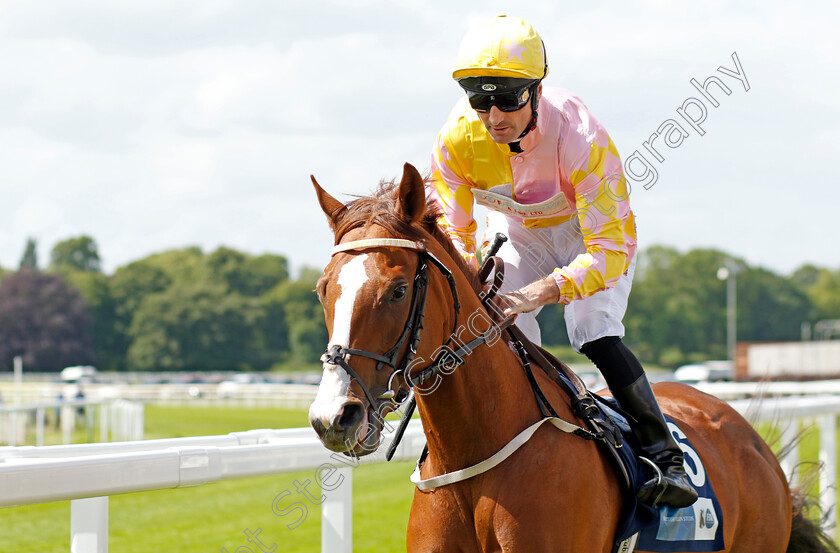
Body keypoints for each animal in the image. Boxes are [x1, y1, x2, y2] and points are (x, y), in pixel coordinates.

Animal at [306, 163, 828, 552]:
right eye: (322, 289)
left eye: (397, 290)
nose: (333, 417)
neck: (476, 456)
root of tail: (750, 438)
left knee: (601, 335)